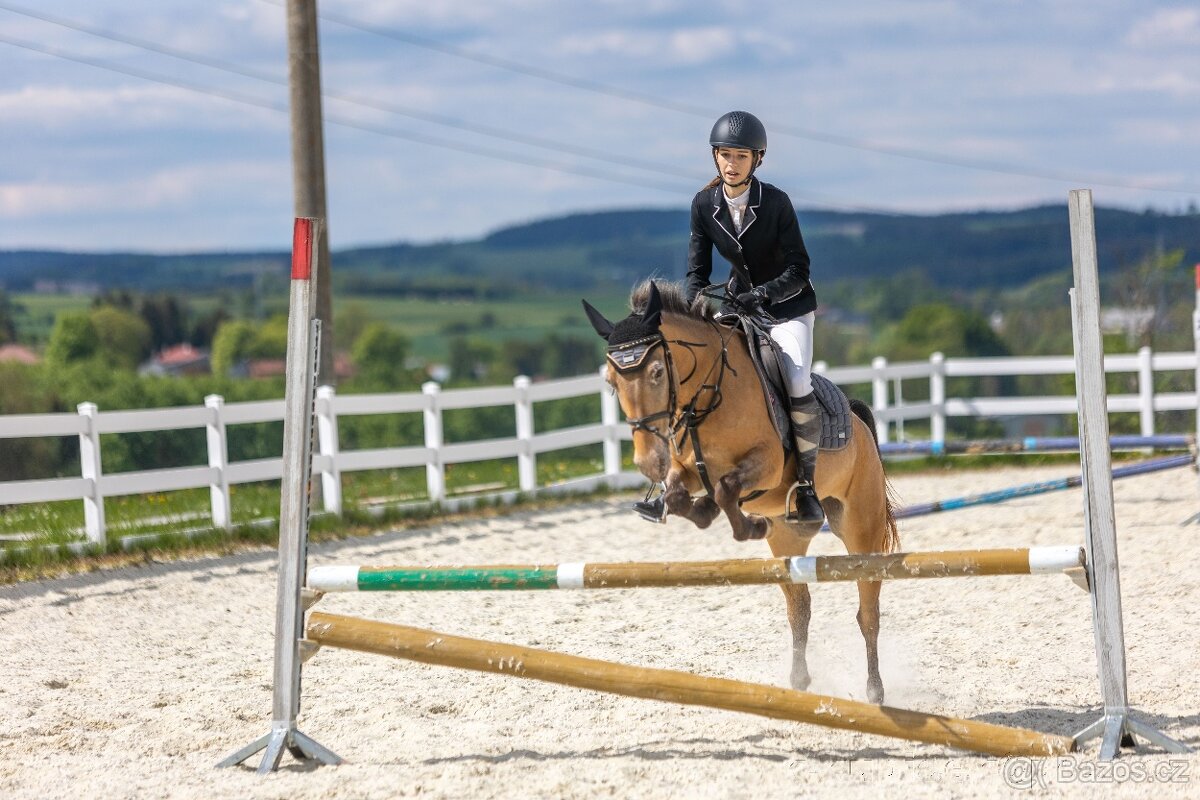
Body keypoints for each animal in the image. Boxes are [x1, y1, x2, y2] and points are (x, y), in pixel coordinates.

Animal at [583, 279, 899, 703]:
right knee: (800, 607)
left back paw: (874, 692)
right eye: (611, 382)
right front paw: (703, 511)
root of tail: (858, 421)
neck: (707, 398)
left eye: (656, 372)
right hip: (788, 539)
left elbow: (727, 487)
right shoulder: (686, 469)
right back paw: (799, 680)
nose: (647, 462)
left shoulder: (767, 465)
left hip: (861, 529)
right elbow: (682, 495)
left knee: (868, 610)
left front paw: (744, 524)